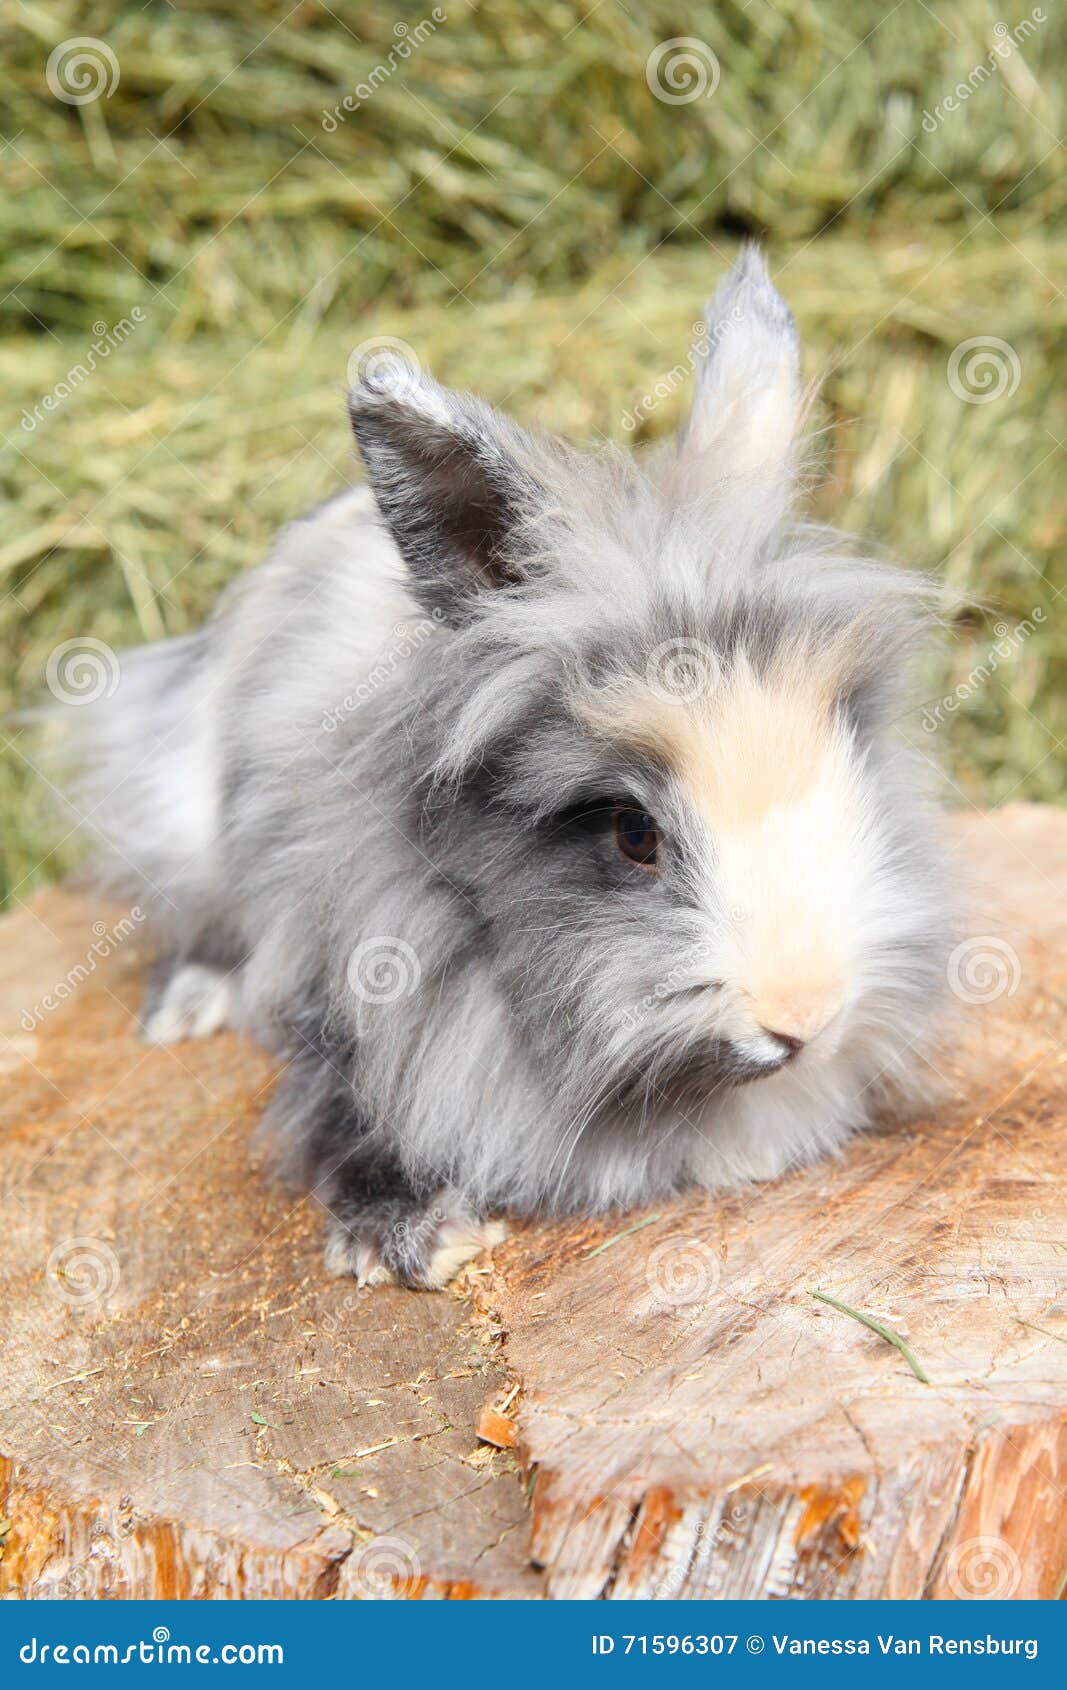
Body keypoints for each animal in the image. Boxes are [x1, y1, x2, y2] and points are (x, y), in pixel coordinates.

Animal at [52, 249, 954, 1289]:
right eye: (632, 833)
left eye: (848, 763)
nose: (805, 1014)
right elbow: (347, 1099)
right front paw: (412, 1239)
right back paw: (182, 1009)